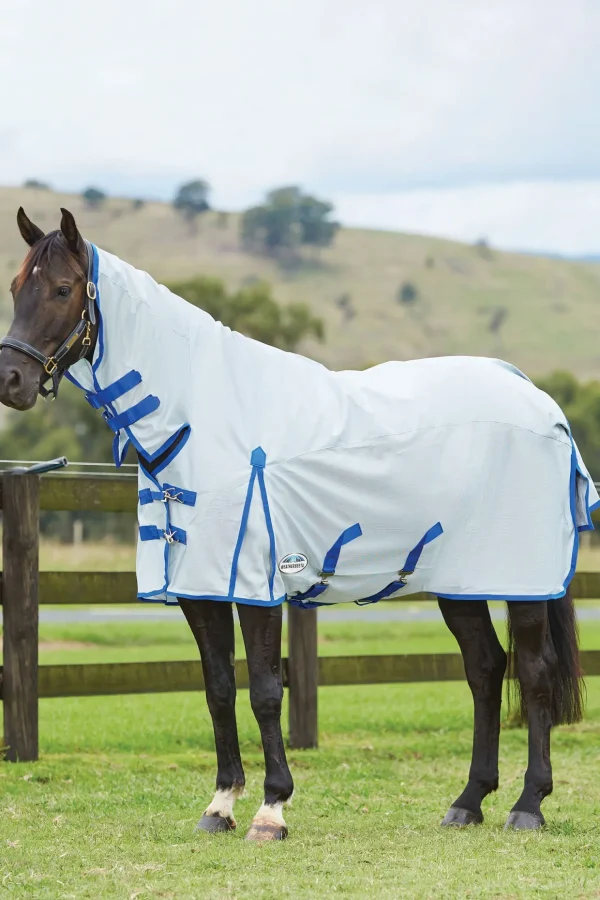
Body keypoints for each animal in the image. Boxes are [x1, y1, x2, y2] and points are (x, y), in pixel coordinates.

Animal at [1, 207, 596, 840]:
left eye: (63, 288)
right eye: (15, 287)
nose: (10, 380)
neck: (201, 423)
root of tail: (538, 400)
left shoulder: (257, 588)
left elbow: (265, 691)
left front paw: (272, 809)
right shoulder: (200, 589)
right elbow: (218, 689)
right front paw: (220, 805)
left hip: (522, 582)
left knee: (533, 672)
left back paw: (528, 805)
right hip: (461, 583)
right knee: (484, 669)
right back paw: (468, 801)